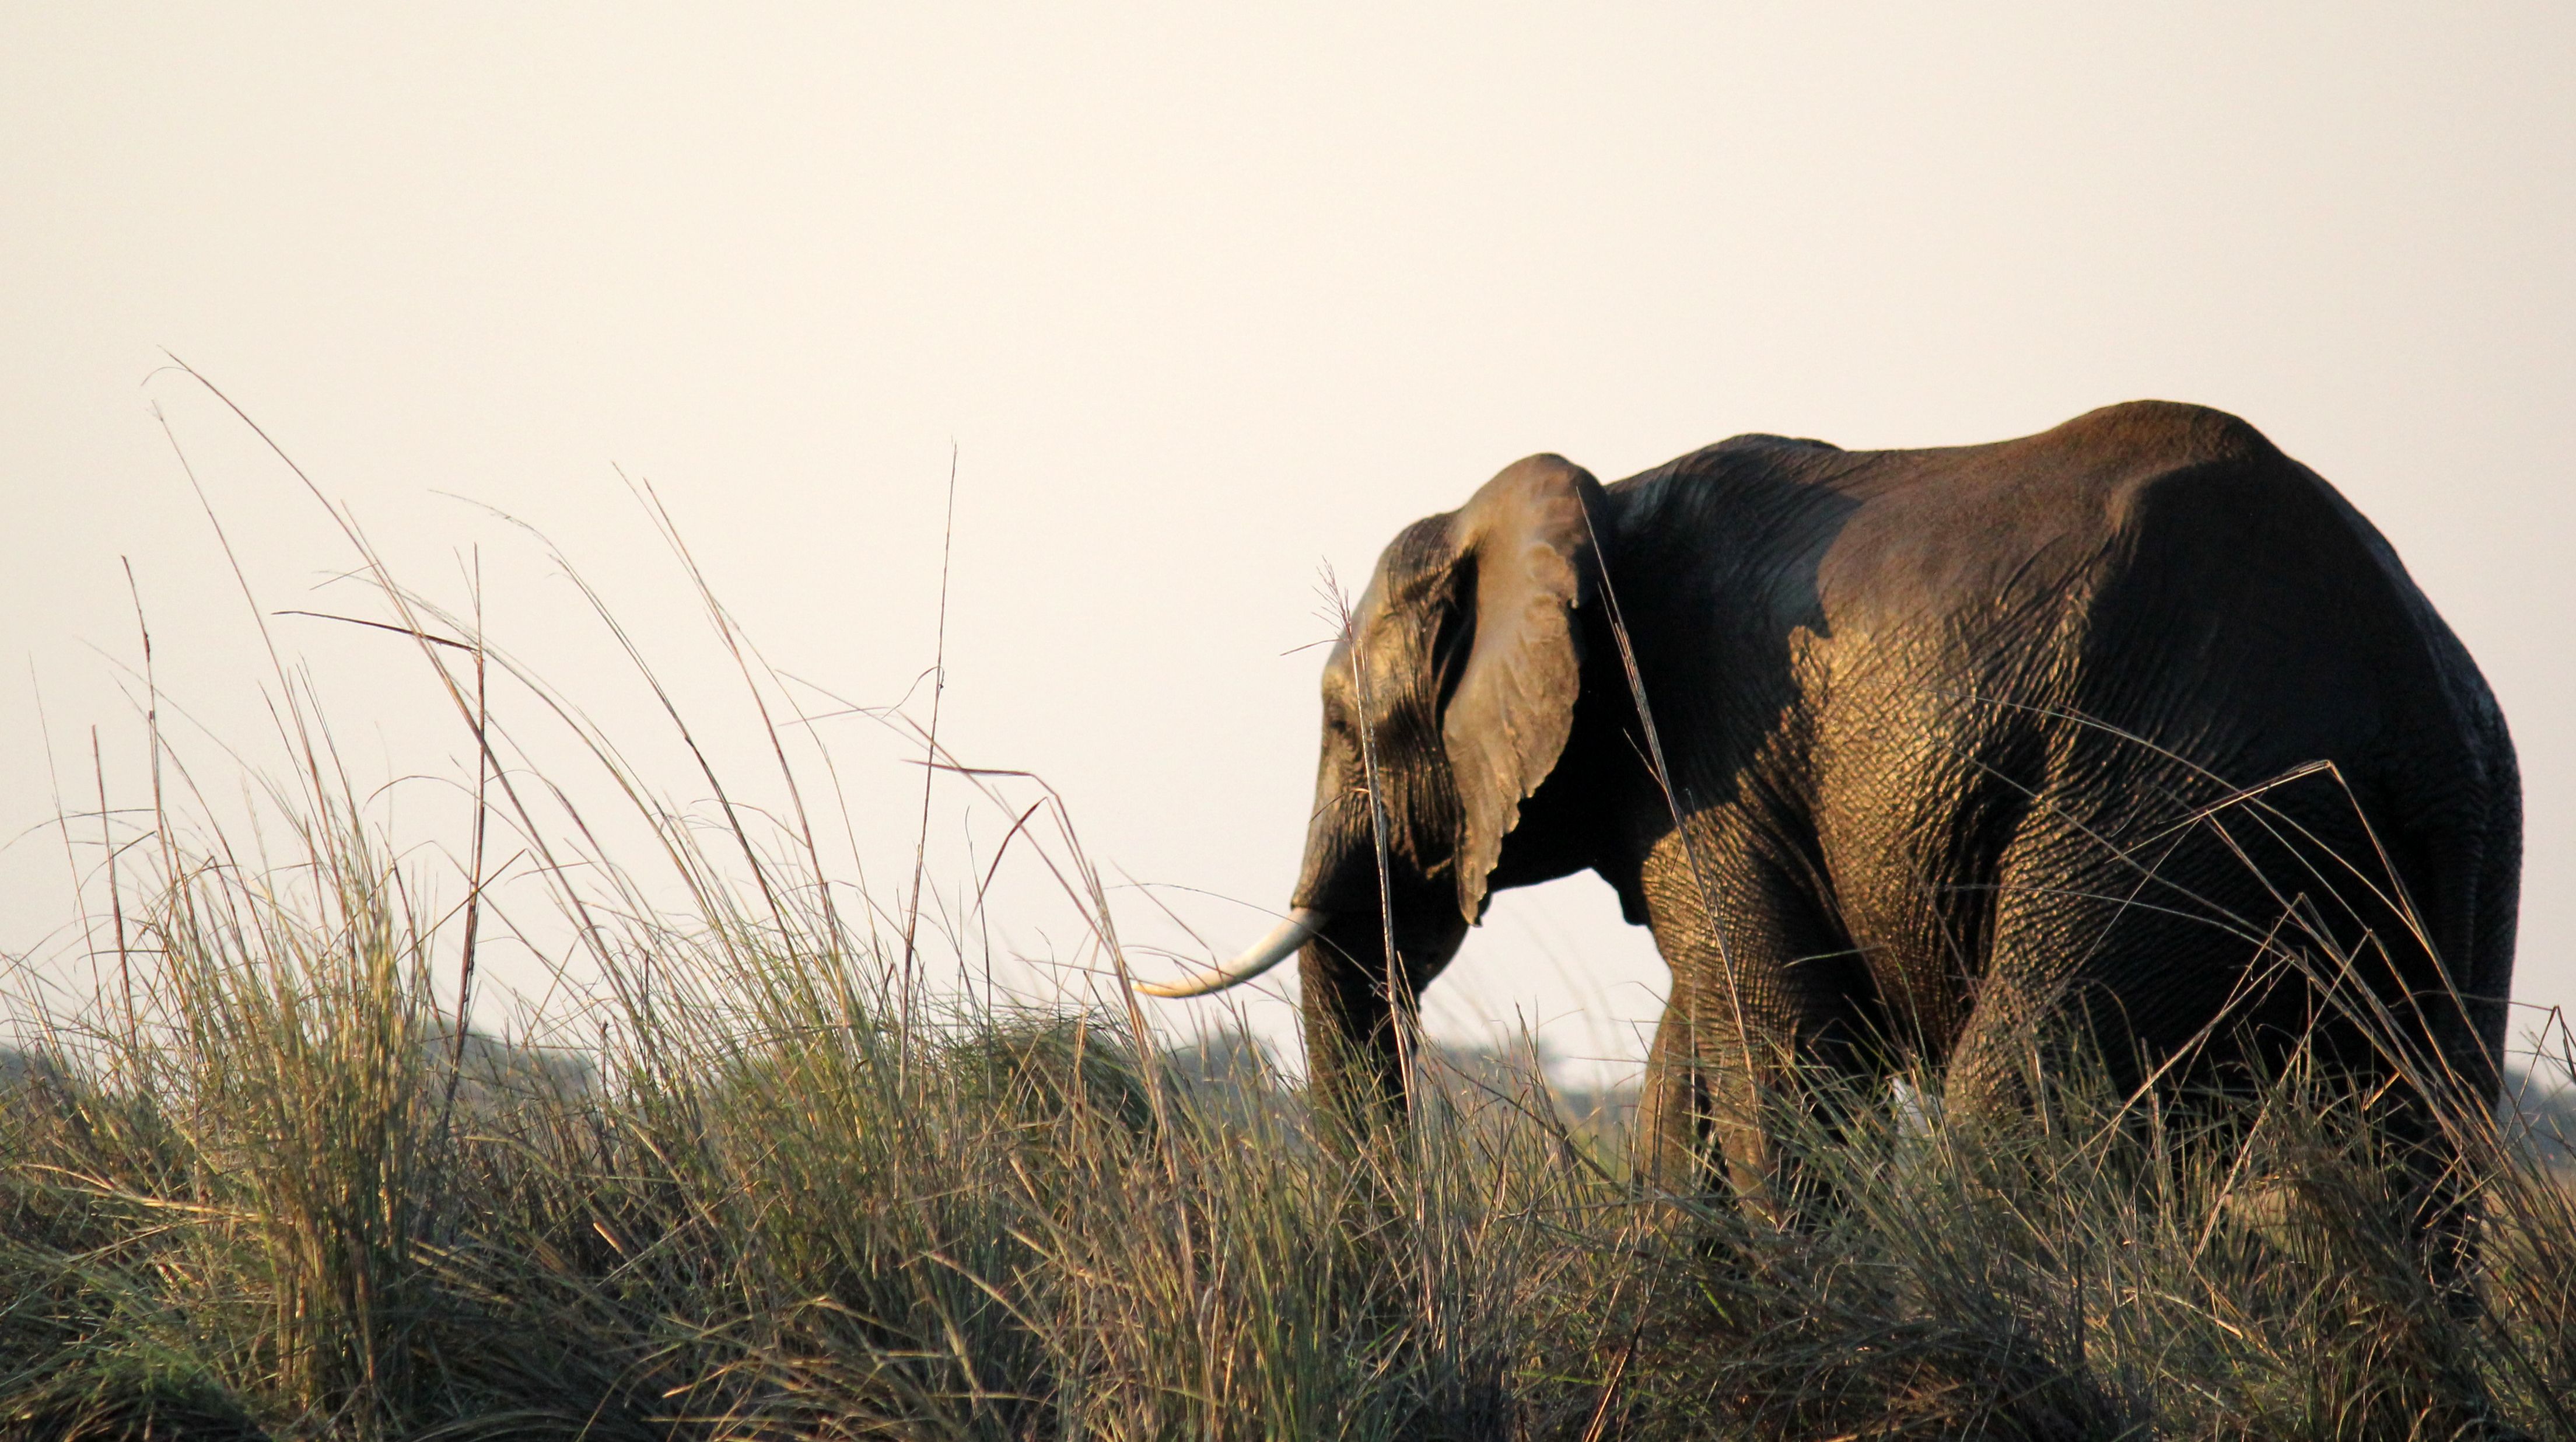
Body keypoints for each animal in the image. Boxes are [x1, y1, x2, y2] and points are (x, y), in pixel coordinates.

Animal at [1145, 400, 2518, 1232]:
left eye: (1340, 726)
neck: (1596, 505)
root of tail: (2397, 687)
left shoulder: (1712, 754)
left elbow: (1792, 1048)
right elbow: (1698, 1057)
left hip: (2168, 800)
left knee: (2019, 1098)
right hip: (2464, 835)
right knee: (2423, 1147)